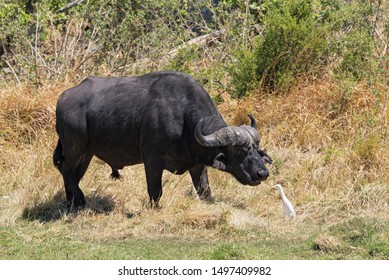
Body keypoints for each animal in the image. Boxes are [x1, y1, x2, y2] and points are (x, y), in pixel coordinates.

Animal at [52, 70, 270, 210]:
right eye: (240, 151)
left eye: (256, 149)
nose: (263, 173)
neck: (184, 118)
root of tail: (63, 98)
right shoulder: (153, 160)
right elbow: (155, 190)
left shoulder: (197, 164)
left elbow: (204, 190)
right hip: (74, 148)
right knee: (66, 170)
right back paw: (79, 201)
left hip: (87, 153)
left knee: (74, 175)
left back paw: (72, 203)